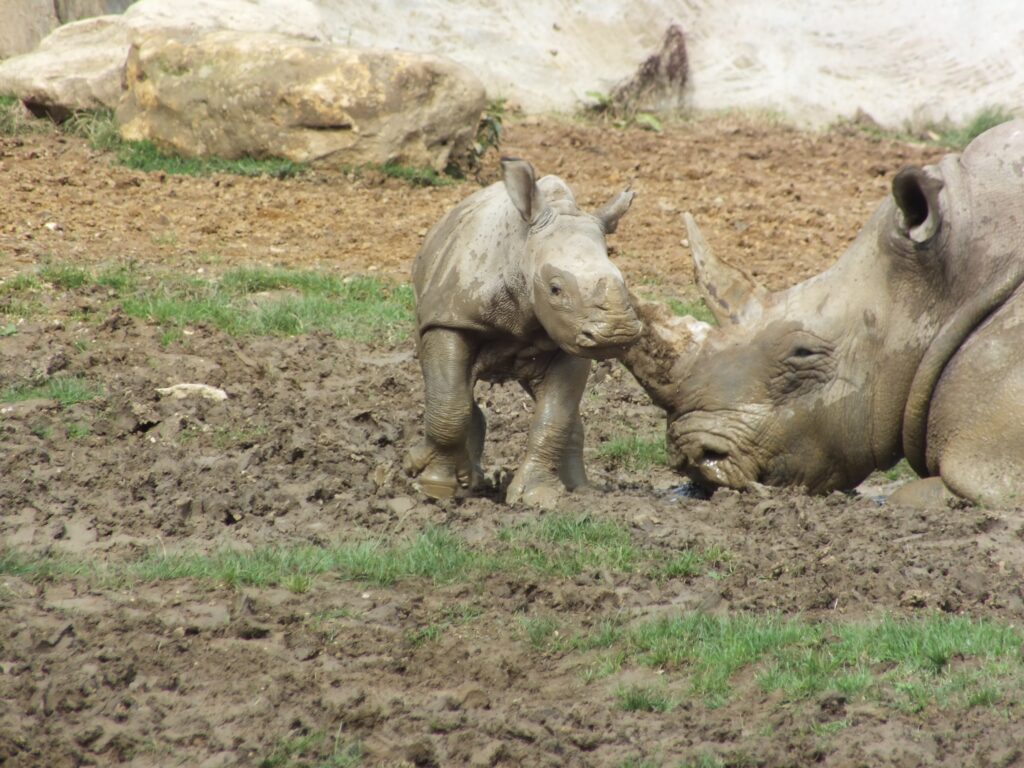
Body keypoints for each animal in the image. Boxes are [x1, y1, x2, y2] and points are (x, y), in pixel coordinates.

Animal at [404, 157, 641, 506]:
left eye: (624, 282)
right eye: (555, 289)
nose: (617, 333)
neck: (522, 253)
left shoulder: (570, 337)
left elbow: (553, 418)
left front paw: (538, 496)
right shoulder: (450, 318)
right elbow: (449, 404)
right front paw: (435, 488)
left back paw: (580, 490)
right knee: (450, 386)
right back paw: (454, 477)